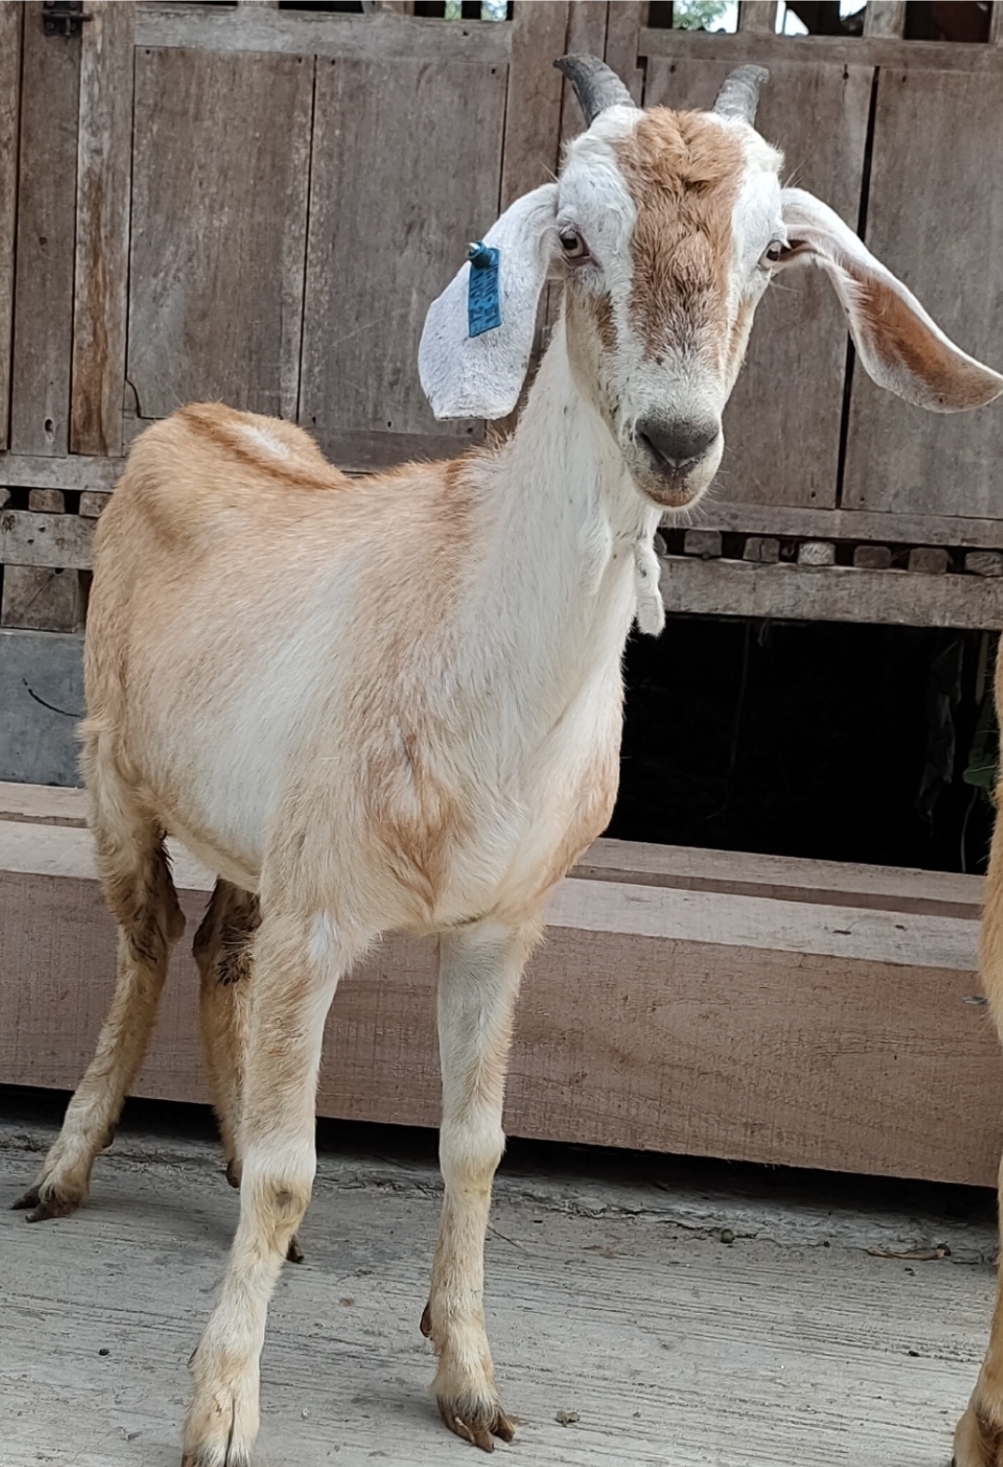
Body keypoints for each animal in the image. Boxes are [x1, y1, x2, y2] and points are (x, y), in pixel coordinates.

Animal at [14, 55, 1003, 1467]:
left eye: (775, 250)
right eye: (574, 235)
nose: (675, 440)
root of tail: (187, 416)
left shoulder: (500, 923)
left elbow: (476, 1146)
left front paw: (469, 1377)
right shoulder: (324, 911)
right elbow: (297, 1163)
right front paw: (220, 1409)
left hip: (255, 838)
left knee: (214, 954)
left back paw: (219, 1156)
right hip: (115, 780)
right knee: (145, 948)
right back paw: (65, 1170)